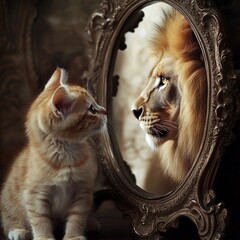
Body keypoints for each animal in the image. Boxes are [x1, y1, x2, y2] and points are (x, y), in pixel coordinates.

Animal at [0, 68, 107, 240]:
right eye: (92, 109)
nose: (106, 111)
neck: (65, 155)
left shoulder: (82, 192)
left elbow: (77, 217)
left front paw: (73, 236)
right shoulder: (35, 195)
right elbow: (40, 219)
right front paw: (44, 237)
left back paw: (91, 223)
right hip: (8, 200)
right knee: (8, 218)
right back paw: (17, 230)